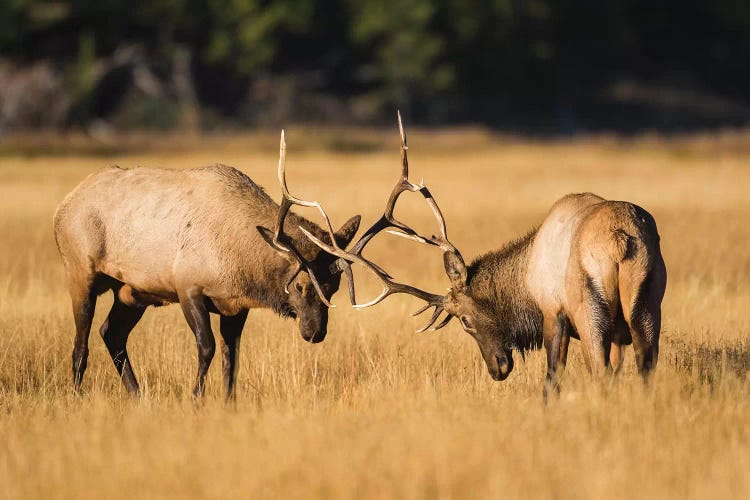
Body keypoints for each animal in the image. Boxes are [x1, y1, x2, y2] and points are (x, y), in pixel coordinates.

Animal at [53, 132, 362, 398]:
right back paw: (77, 395)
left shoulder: (236, 305)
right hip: (80, 272)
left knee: (112, 333)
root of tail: (63, 206)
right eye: (298, 285)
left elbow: (231, 357)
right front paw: (196, 397)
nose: (315, 332)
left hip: (132, 292)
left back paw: (138, 394)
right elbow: (207, 347)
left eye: (333, 288)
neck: (242, 260)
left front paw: (228, 402)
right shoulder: (187, 287)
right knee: (80, 344)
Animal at [294, 112, 668, 398]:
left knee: (601, 371)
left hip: (589, 306)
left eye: (465, 320)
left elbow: (551, 380)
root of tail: (619, 240)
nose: (497, 369)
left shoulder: (554, 312)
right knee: (645, 367)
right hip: (647, 301)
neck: (525, 281)